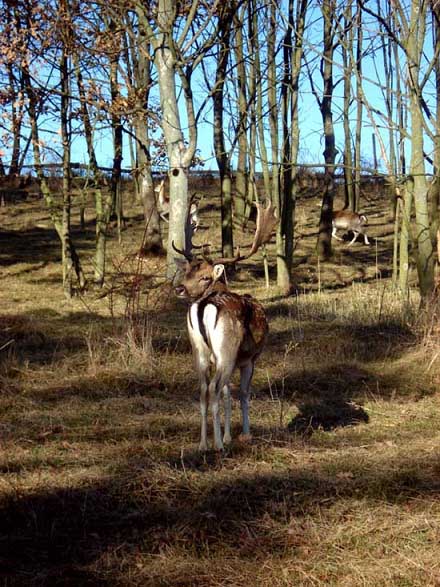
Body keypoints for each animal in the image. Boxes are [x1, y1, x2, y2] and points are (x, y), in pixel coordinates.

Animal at [174, 200, 276, 452]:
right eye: (187, 272)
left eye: (202, 276)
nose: (179, 288)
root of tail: (204, 305)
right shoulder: (249, 359)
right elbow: (243, 393)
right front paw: (244, 434)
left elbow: (229, 394)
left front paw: (229, 435)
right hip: (226, 350)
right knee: (213, 388)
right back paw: (218, 445)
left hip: (199, 351)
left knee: (203, 389)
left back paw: (203, 444)